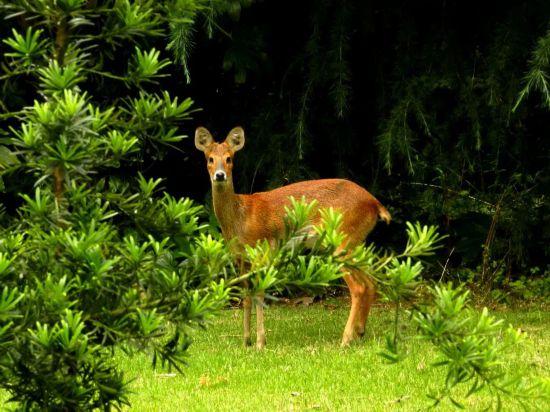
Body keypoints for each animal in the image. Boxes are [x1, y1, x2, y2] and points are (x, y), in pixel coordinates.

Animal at [195, 124, 392, 348]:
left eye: (229, 159)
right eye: (210, 159)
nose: (220, 175)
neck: (240, 217)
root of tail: (375, 204)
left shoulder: (262, 252)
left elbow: (260, 294)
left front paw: (260, 343)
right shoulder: (241, 259)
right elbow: (246, 297)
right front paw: (246, 341)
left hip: (341, 239)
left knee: (359, 287)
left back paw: (345, 340)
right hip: (353, 242)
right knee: (371, 282)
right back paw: (360, 332)